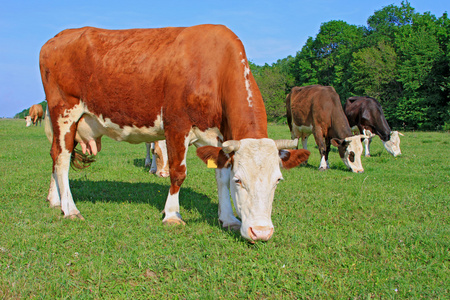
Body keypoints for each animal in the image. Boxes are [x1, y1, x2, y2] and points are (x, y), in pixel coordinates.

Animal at [41, 24, 310, 243]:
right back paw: (70, 209)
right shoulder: (177, 125)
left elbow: (220, 176)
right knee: (62, 160)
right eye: (240, 180)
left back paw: (55, 201)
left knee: (54, 156)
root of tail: (57, 37)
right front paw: (171, 215)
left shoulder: (221, 139)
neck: (214, 68)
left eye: (278, 180)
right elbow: (178, 173)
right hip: (64, 112)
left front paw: (228, 218)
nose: (261, 232)